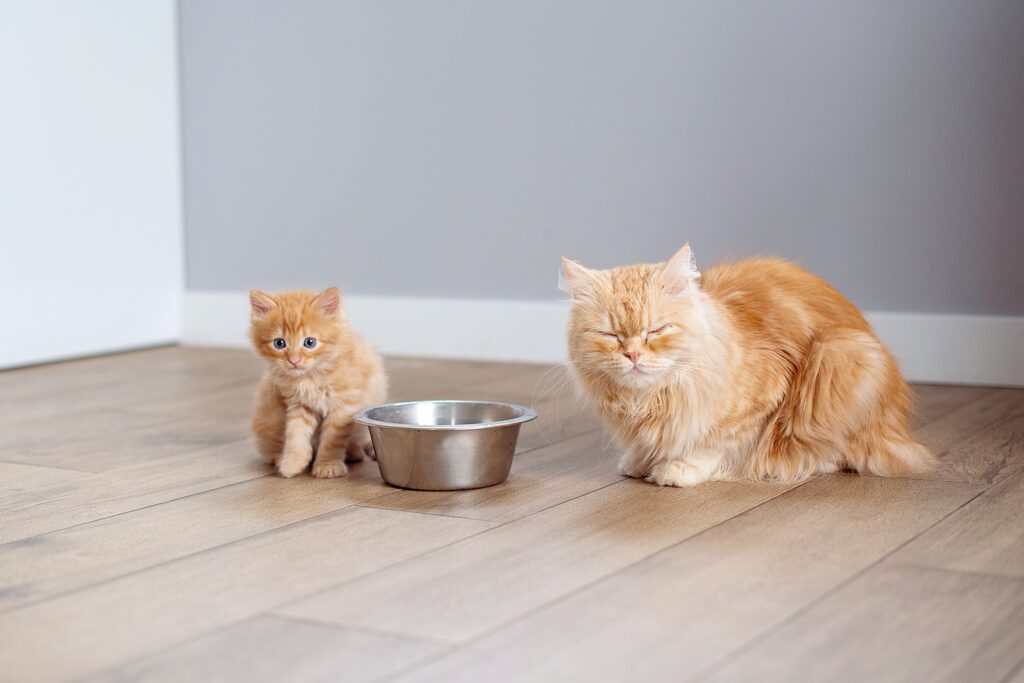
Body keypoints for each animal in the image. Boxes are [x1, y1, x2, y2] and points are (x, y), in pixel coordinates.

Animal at [248, 286, 387, 479]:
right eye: (279, 343)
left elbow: (332, 440)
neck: (312, 377)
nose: (294, 361)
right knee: (267, 449)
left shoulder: (344, 406)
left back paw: (355, 452)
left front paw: (328, 465)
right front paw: (292, 462)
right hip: (269, 418)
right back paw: (277, 457)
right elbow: (295, 434)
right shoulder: (299, 404)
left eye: (310, 342)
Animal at [561, 245, 937, 485]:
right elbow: (649, 443)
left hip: (840, 357)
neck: (648, 400)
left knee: (845, 452)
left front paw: (676, 469)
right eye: (611, 335)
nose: (633, 355)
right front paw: (640, 461)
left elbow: (712, 443)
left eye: (656, 331)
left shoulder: (760, 401)